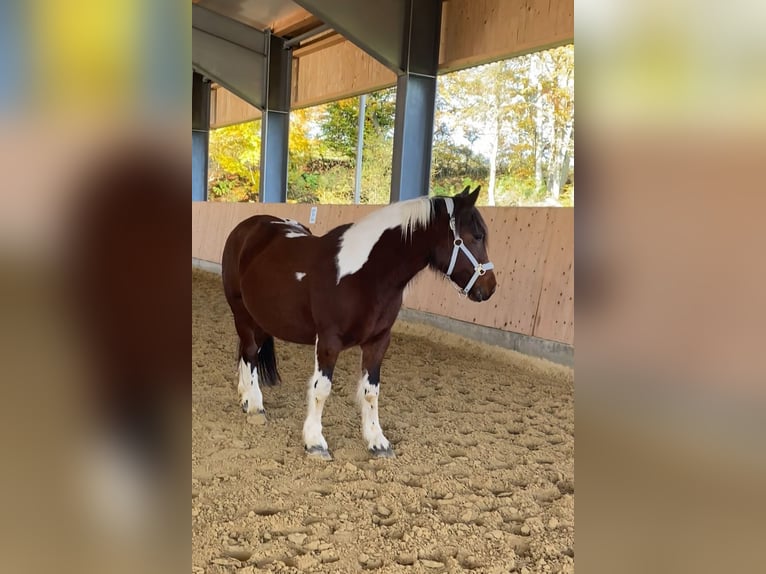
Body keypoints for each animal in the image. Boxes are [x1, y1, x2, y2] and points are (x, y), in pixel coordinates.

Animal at [222, 187, 498, 462]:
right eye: (476, 236)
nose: (490, 288)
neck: (364, 275)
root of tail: (246, 228)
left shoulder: (378, 341)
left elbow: (371, 391)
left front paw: (377, 441)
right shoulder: (328, 342)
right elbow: (321, 389)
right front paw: (315, 442)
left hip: (260, 318)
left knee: (249, 352)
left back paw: (245, 396)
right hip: (241, 313)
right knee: (249, 352)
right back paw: (254, 406)